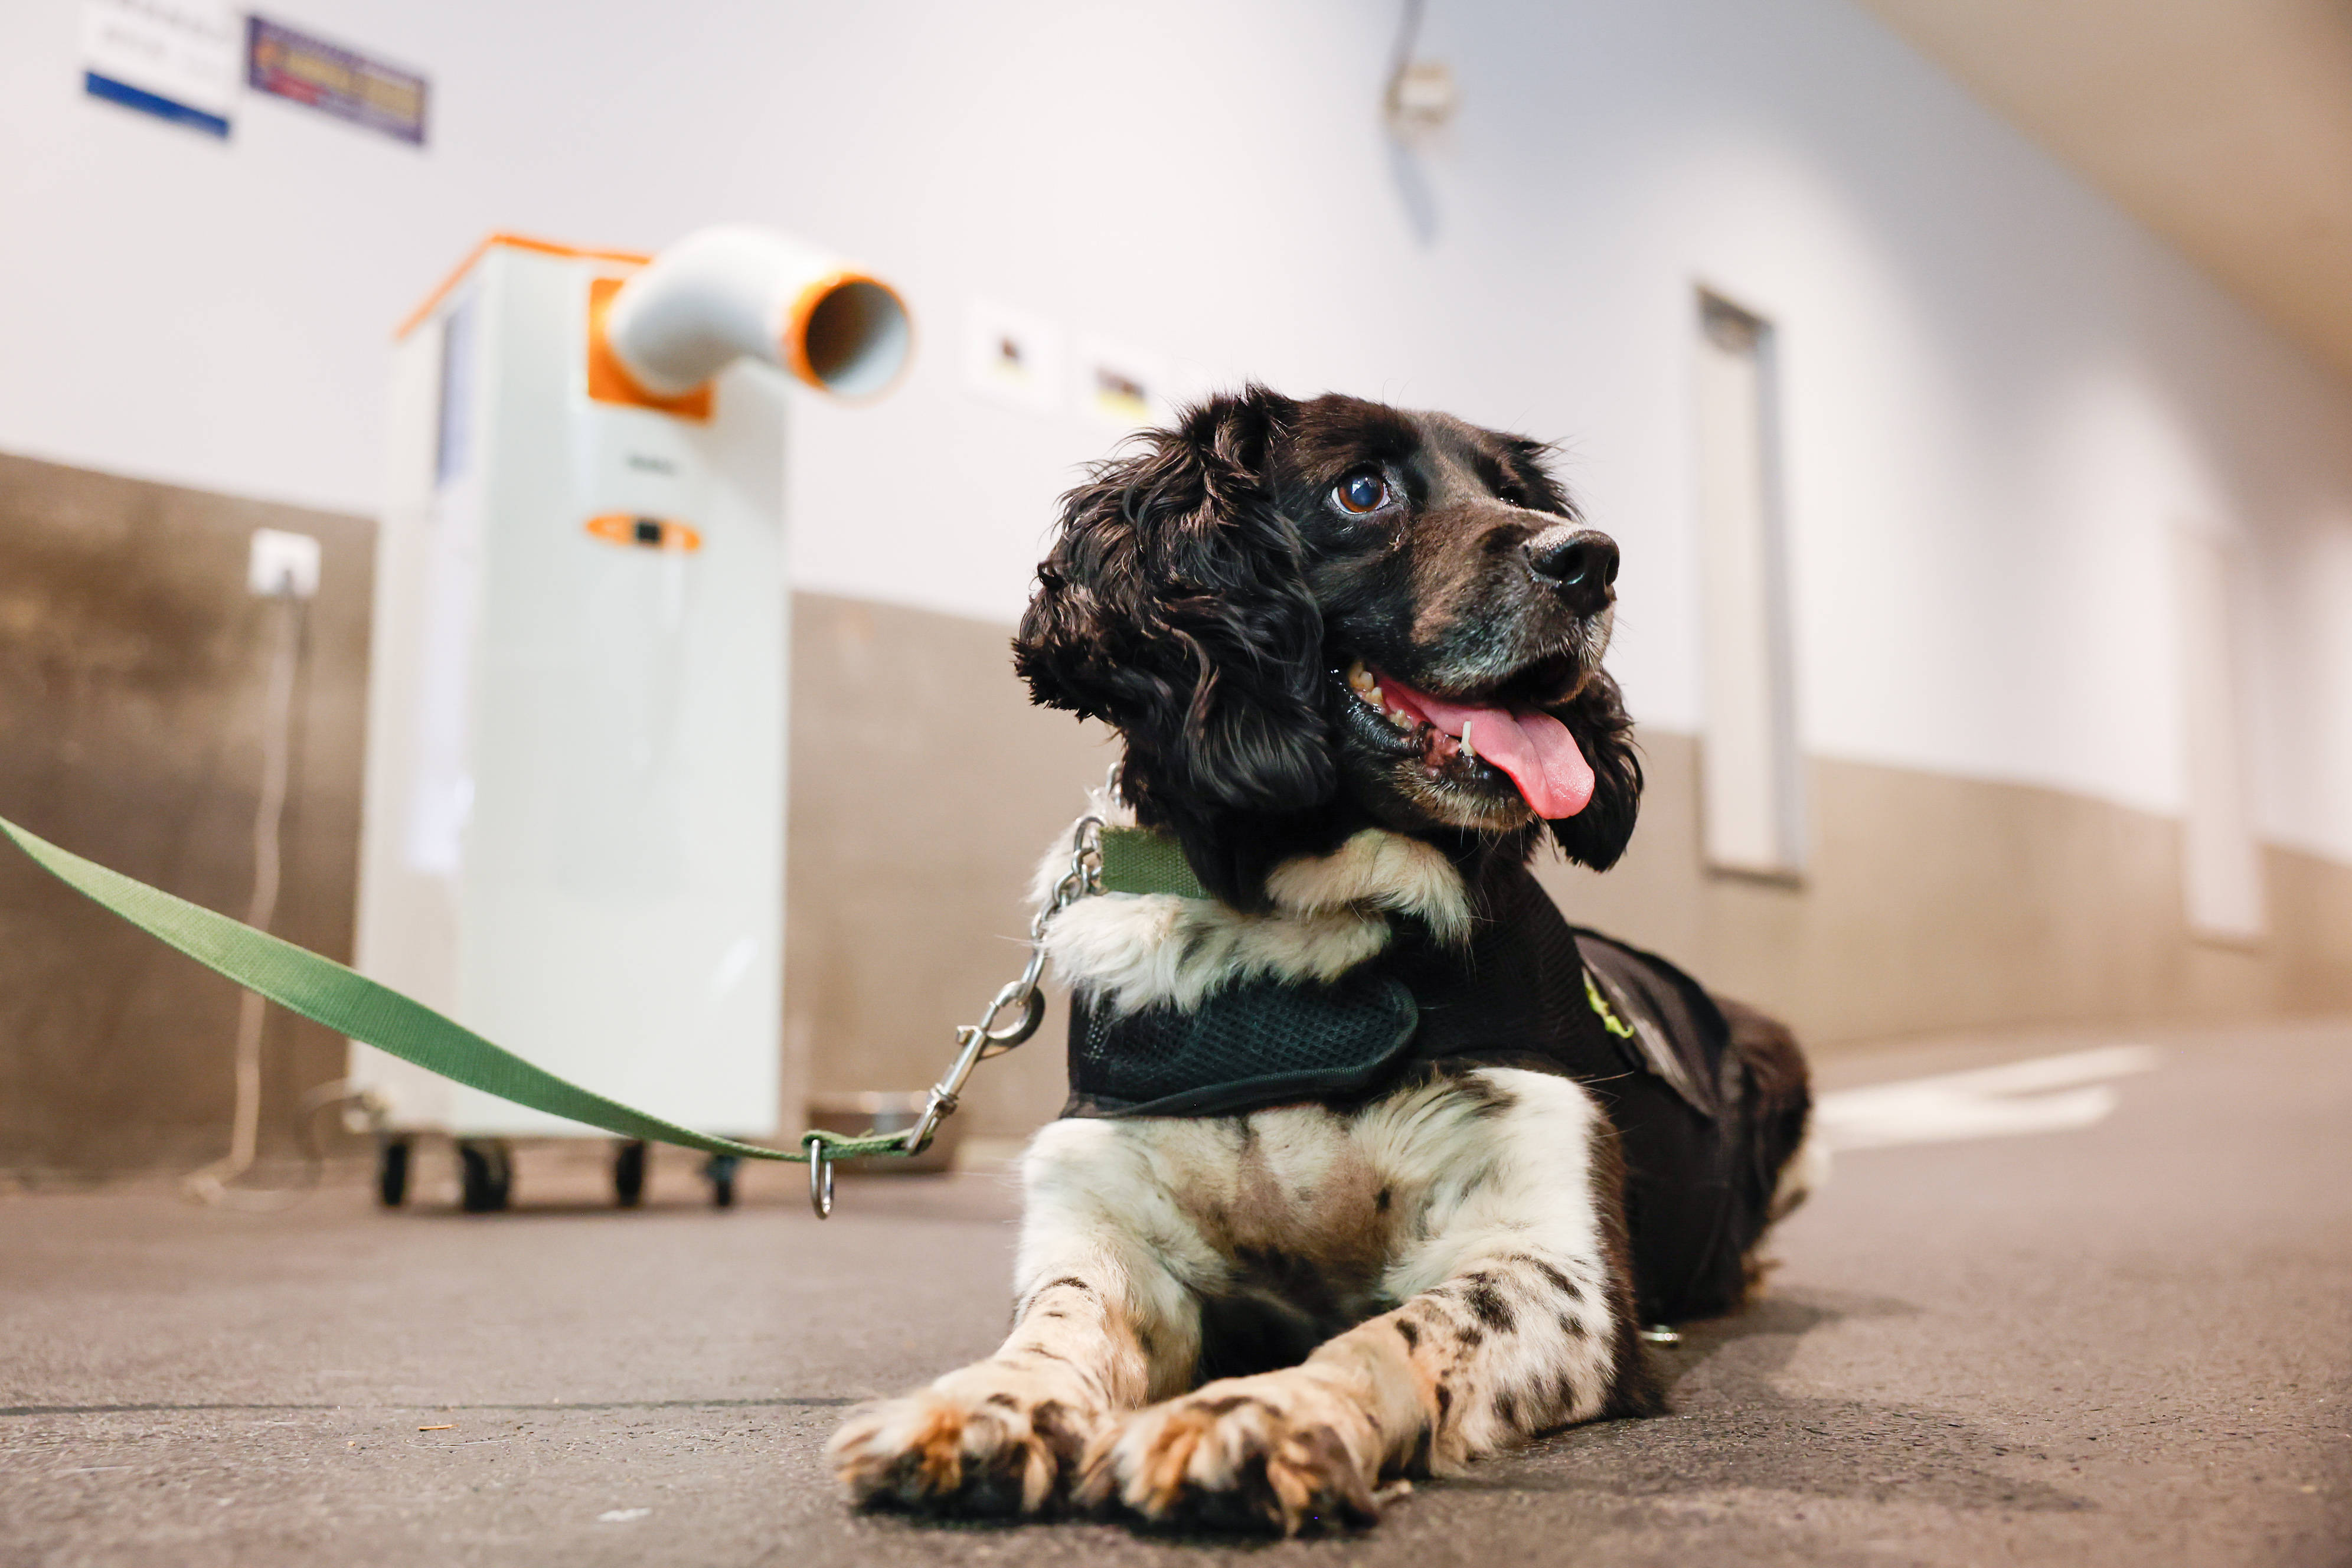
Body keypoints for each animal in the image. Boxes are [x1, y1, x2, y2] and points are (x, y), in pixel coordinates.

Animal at [828, 390, 1815, 1533]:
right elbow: (1058, 1322)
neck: (1298, 922)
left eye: (1515, 494)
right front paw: (983, 1404)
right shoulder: (1103, 1222)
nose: (1592, 561)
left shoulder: (1554, 1261)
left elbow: (1399, 1329)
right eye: (1361, 491)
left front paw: (1258, 1414)